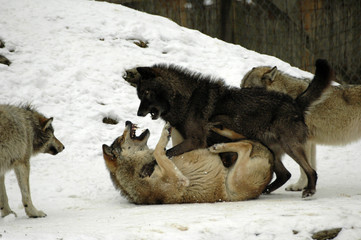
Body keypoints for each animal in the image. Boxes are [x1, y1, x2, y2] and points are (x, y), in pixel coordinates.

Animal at [101, 121, 272, 203]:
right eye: (120, 139)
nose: (127, 121)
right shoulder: (179, 180)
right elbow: (158, 151)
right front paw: (164, 133)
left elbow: (161, 151)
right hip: (234, 182)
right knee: (246, 145)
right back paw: (217, 146)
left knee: (246, 140)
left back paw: (218, 132)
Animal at [134, 59, 330, 197]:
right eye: (139, 95)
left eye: (146, 92)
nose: (138, 113)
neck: (185, 100)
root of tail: (295, 102)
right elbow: (166, 153)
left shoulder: (195, 141)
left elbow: (163, 153)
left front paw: (146, 168)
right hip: (271, 149)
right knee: (284, 174)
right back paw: (264, 190)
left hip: (291, 147)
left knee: (310, 170)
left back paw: (309, 190)